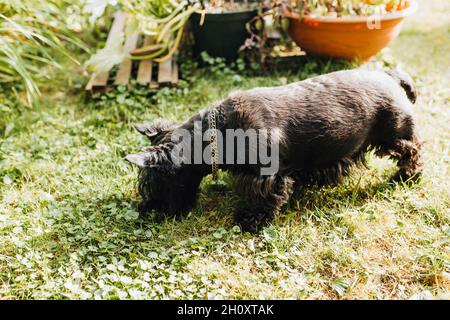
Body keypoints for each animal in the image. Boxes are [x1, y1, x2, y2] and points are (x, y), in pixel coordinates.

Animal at [125, 68, 422, 232]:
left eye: (152, 181)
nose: (146, 209)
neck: (218, 132)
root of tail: (390, 75)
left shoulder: (267, 177)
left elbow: (264, 200)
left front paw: (250, 221)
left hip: (395, 135)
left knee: (413, 151)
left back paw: (406, 177)